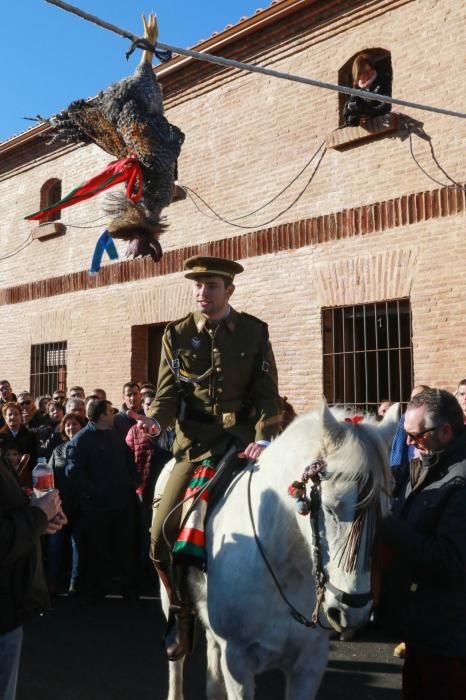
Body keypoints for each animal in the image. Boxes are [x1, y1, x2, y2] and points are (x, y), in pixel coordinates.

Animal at [159, 400, 396, 700]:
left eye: (382, 514)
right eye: (331, 507)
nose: (351, 612)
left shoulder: (310, 662)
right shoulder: (237, 661)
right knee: (177, 657)